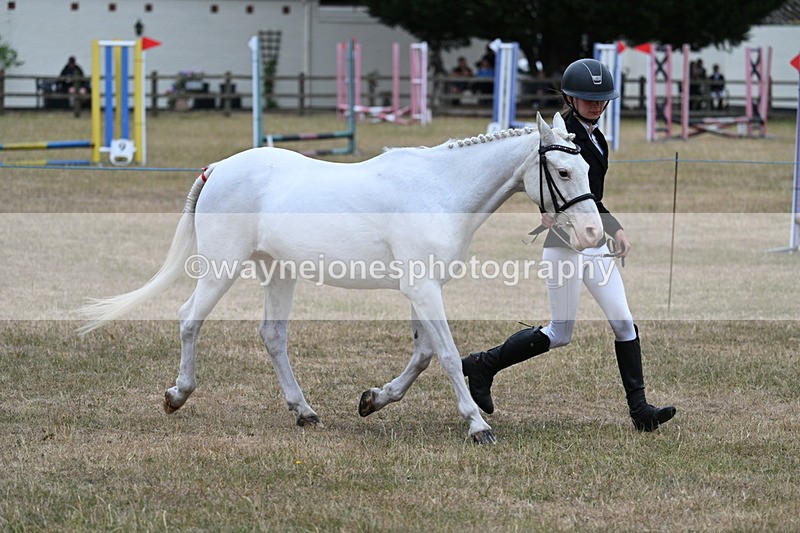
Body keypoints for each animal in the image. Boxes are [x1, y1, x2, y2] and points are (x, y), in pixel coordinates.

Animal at [78, 112, 602, 444]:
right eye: (561, 170)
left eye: (585, 165)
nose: (593, 233)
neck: (439, 191)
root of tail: (218, 168)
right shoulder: (422, 289)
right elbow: (449, 356)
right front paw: (477, 426)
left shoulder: (422, 289)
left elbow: (425, 354)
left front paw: (375, 399)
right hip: (221, 267)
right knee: (190, 318)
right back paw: (177, 395)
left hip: (278, 272)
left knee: (272, 336)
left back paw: (304, 412)